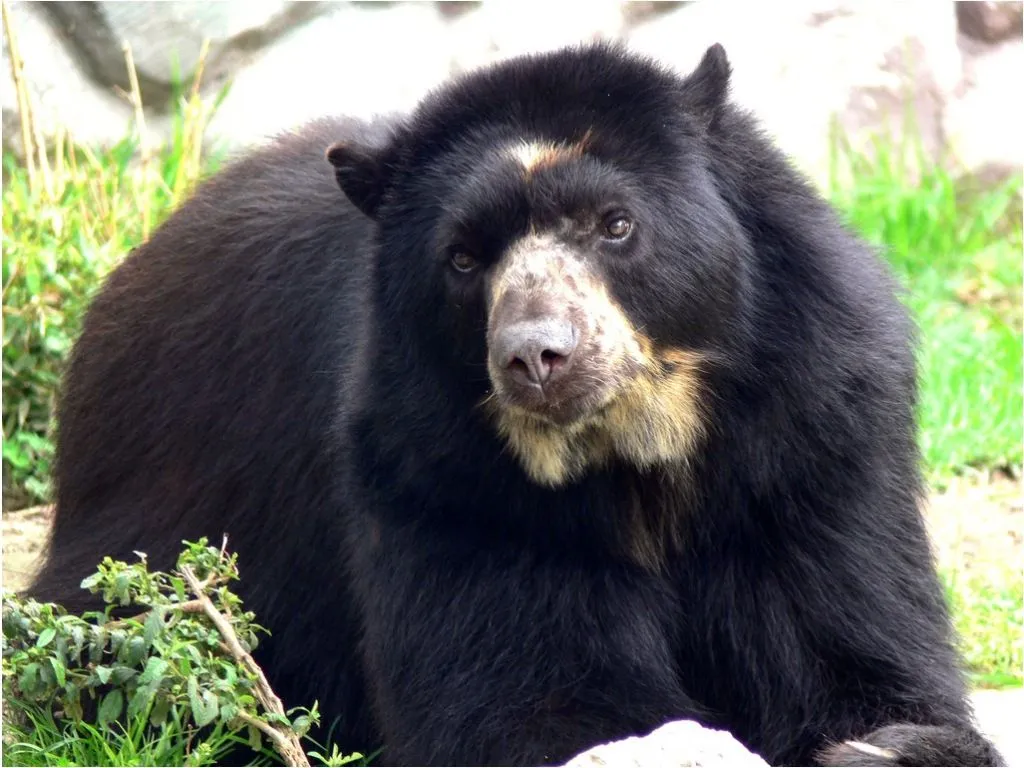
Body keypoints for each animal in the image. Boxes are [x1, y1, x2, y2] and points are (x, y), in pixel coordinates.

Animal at [28, 43, 1003, 768]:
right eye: (465, 258)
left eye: (615, 224)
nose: (535, 357)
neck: (636, 451)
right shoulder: (446, 480)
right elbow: (525, 697)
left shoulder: (811, 439)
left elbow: (846, 648)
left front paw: (880, 744)